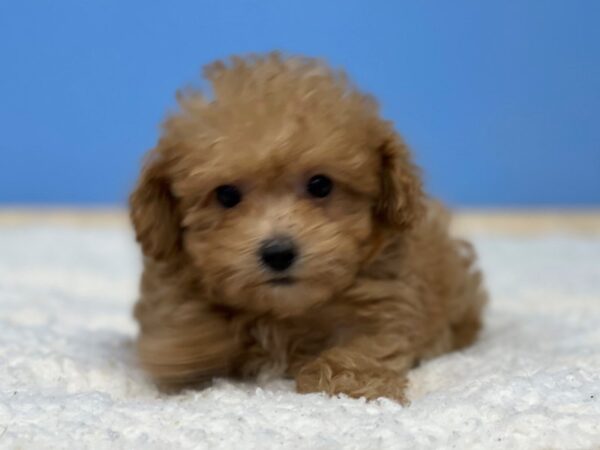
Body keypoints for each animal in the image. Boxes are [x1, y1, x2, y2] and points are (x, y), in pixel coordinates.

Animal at [129, 53, 486, 404]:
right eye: (226, 195)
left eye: (320, 185)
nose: (278, 253)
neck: (283, 311)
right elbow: (184, 314)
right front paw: (186, 349)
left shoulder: (385, 298)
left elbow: (366, 342)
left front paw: (351, 381)